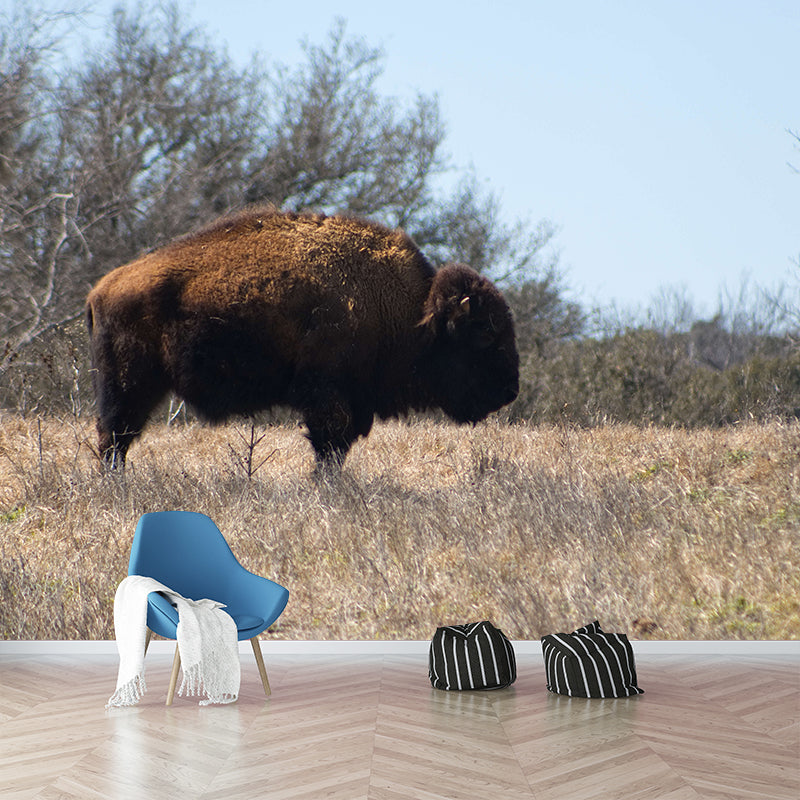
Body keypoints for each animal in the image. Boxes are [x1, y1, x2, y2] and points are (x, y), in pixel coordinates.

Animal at [86, 208, 519, 469]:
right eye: (484, 331)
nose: (510, 390)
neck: (412, 311)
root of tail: (101, 290)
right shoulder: (327, 394)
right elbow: (329, 442)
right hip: (129, 382)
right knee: (116, 433)